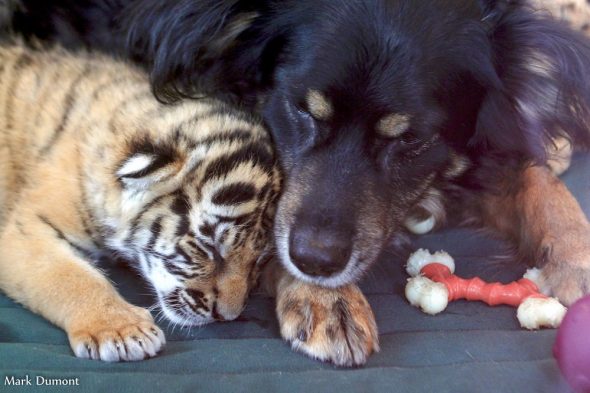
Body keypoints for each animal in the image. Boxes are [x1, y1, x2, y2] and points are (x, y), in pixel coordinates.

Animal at [6, 1, 590, 366]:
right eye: (300, 108)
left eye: (411, 139)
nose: (314, 263)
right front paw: (324, 299)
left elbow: (533, 174)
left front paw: (576, 255)